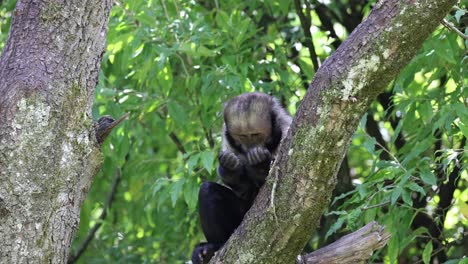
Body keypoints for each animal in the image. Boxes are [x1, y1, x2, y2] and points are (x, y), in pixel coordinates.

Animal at [192, 92, 290, 264]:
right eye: (242, 137)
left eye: (255, 135)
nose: (251, 147)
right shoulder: (228, 141)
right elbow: (241, 188)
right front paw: (230, 169)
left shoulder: (287, 128)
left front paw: (259, 166)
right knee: (207, 190)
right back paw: (213, 247)